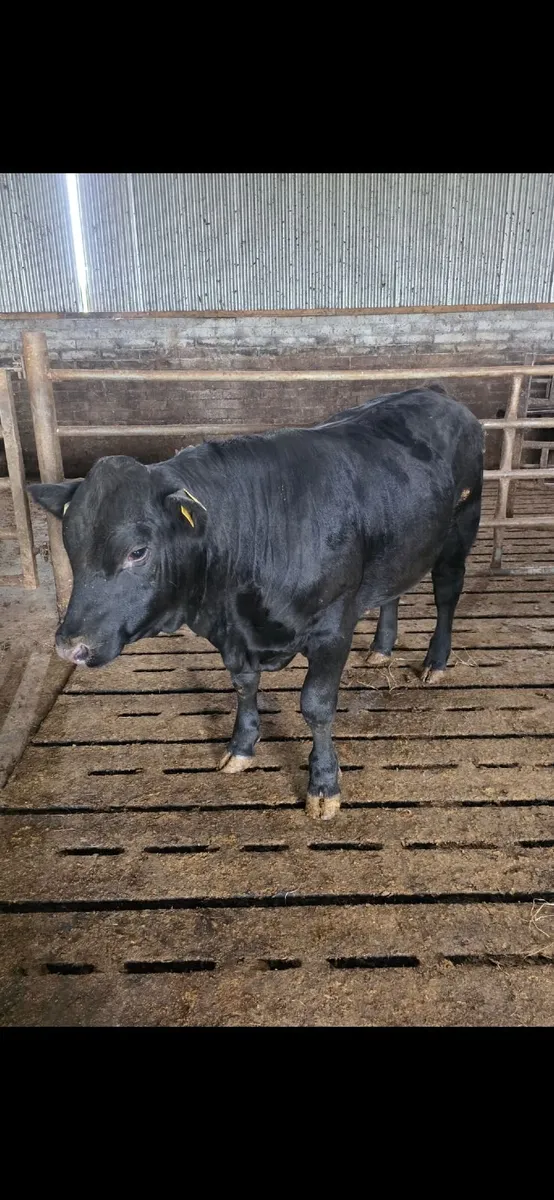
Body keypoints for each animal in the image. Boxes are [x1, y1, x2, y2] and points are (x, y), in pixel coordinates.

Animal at [29, 386, 483, 820]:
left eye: (137, 552)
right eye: (70, 546)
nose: (70, 646)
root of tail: (435, 393)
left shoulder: (332, 628)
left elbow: (316, 705)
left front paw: (324, 785)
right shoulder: (234, 636)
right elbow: (243, 684)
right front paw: (242, 747)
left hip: (459, 532)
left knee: (447, 594)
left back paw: (435, 662)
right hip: (401, 548)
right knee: (393, 592)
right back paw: (382, 648)